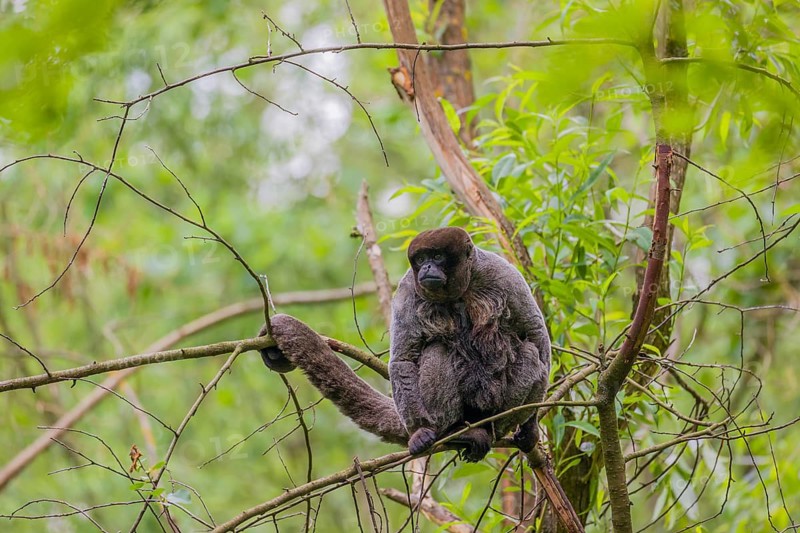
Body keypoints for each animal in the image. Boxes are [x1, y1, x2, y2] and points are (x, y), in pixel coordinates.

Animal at [258, 227, 550, 462]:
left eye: (438, 257)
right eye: (421, 259)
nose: (427, 268)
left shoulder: (502, 274)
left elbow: (535, 333)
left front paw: (531, 428)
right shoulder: (409, 286)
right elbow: (404, 359)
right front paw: (420, 432)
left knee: (531, 352)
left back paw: (492, 428)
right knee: (438, 350)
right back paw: (453, 431)